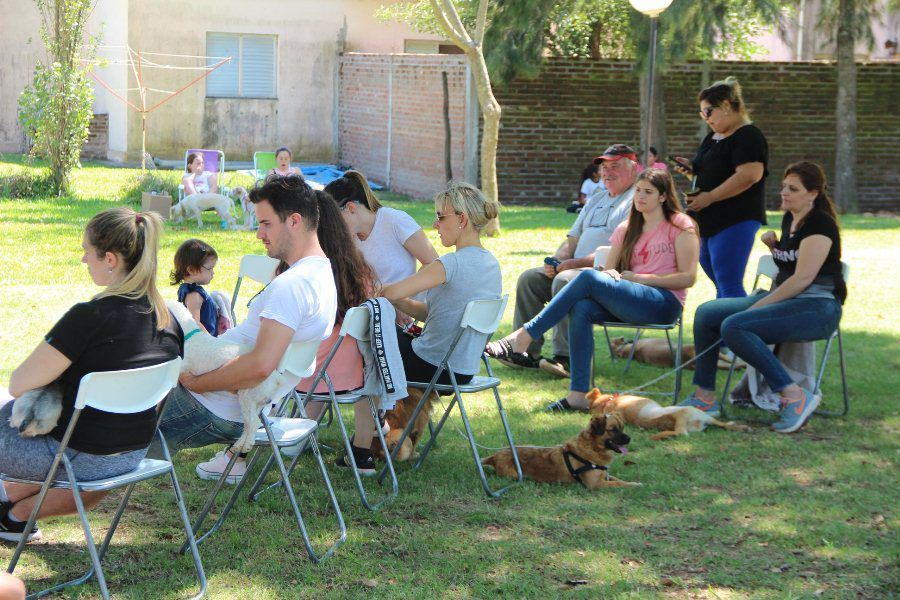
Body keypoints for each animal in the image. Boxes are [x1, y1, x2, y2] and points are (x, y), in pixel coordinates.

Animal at [482, 414, 636, 490]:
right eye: (613, 429)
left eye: (622, 428)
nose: (629, 438)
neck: (592, 447)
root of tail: (495, 455)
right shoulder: (595, 484)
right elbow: (618, 484)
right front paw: (633, 486)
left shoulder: (604, 477)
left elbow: (618, 480)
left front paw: (633, 482)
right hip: (513, 475)